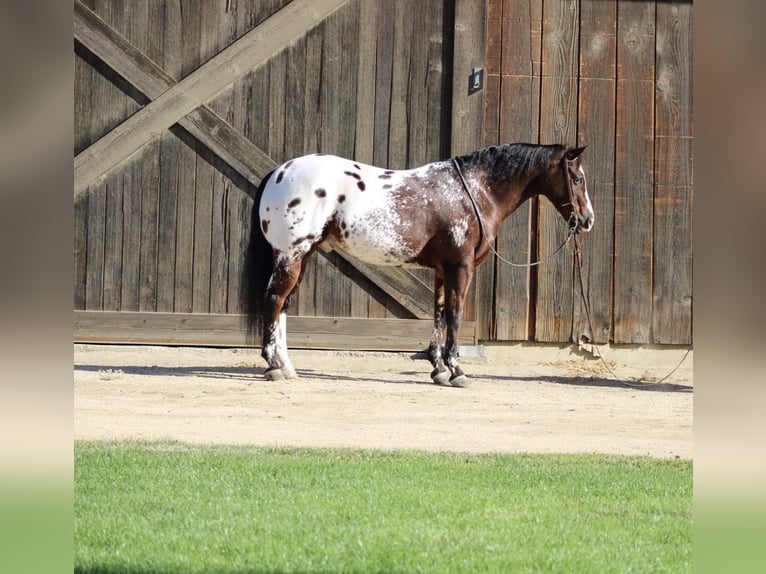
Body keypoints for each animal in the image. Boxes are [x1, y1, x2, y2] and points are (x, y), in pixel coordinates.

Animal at [240, 142, 592, 390]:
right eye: (577, 178)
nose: (587, 220)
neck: (474, 192)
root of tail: (278, 172)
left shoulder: (442, 270)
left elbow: (439, 314)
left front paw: (438, 369)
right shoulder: (460, 267)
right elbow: (455, 315)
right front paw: (457, 370)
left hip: (302, 255)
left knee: (284, 305)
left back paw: (287, 366)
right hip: (291, 254)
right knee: (274, 301)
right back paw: (272, 366)